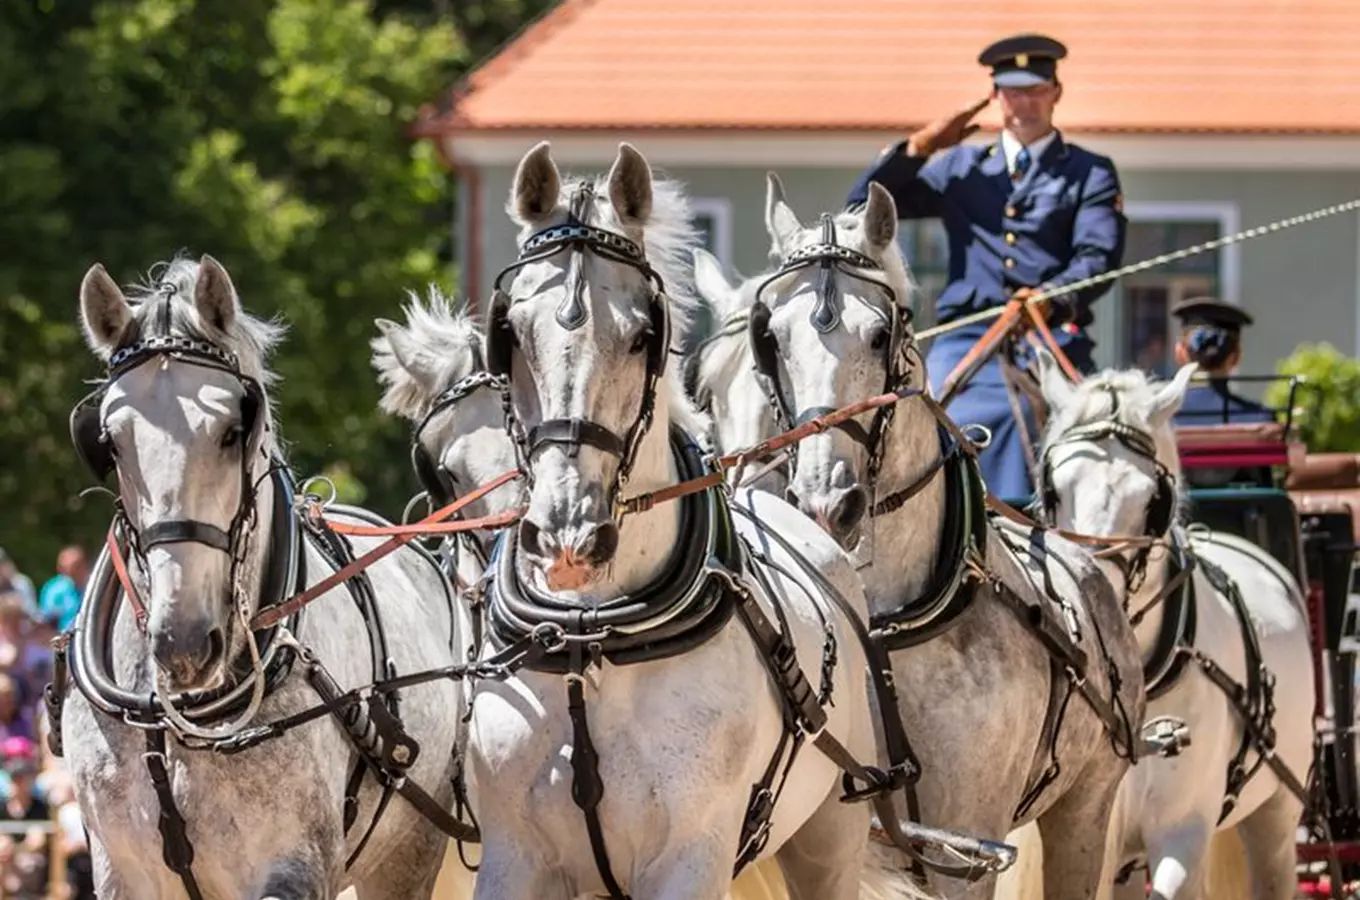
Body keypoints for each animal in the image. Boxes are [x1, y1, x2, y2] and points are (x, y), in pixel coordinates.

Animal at [59, 255, 473, 900]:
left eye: (234, 430)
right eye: (110, 442)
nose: (182, 643)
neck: (180, 720)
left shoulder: (296, 866)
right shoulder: (120, 869)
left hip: (410, 850)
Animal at [462, 139, 930, 900]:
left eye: (642, 336)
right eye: (511, 334)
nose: (567, 534)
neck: (594, 639)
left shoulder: (691, 855)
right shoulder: (514, 856)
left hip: (829, 836)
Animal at [690, 172, 1147, 897]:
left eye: (881, 335)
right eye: (773, 339)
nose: (825, 503)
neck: (877, 619)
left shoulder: (968, 852)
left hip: (1085, 809)